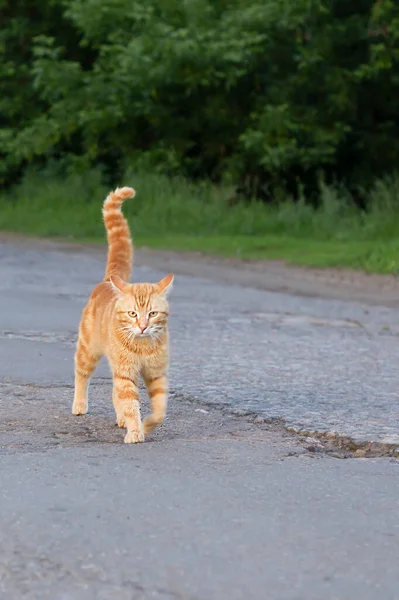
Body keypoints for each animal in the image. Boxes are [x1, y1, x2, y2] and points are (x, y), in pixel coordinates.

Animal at [72, 185, 174, 442]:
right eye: (132, 314)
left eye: (152, 313)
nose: (143, 326)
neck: (143, 346)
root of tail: (109, 280)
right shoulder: (126, 372)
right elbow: (130, 403)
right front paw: (136, 431)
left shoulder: (156, 374)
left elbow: (159, 408)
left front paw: (147, 425)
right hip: (89, 351)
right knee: (82, 375)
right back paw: (79, 405)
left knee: (113, 392)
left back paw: (121, 420)